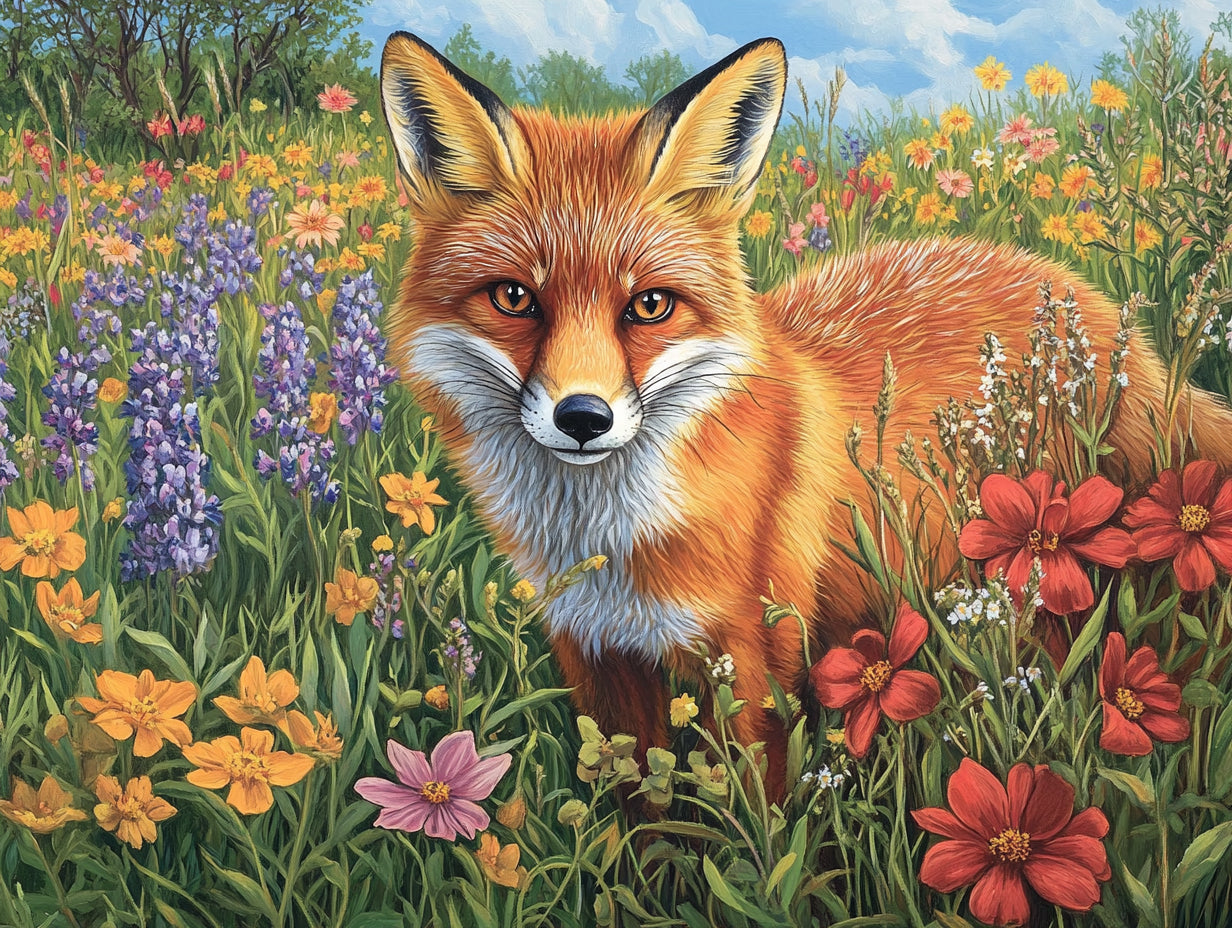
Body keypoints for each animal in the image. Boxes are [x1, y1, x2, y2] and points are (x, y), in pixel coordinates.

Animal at [378, 32, 1232, 797]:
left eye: (649, 305)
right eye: (514, 298)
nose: (583, 416)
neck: (609, 540)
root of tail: (1102, 317)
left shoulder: (752, 659)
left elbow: (758, 818)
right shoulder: (598, 656)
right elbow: (640, 824)